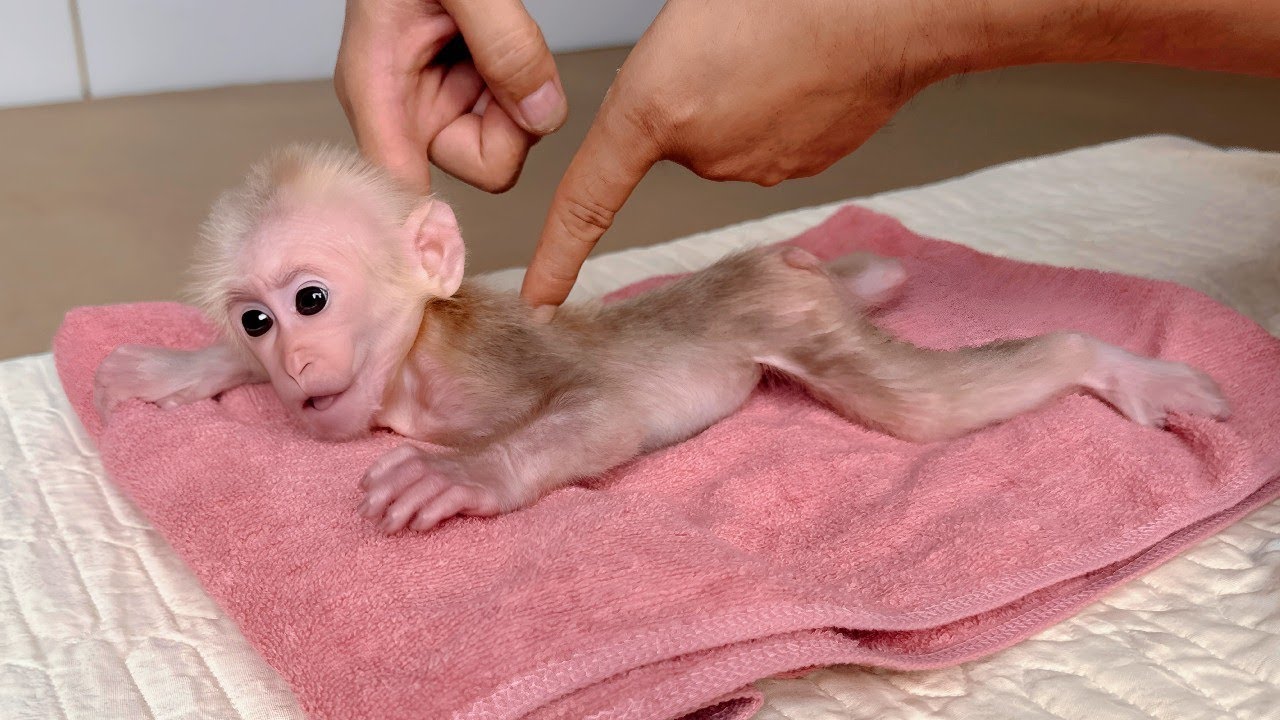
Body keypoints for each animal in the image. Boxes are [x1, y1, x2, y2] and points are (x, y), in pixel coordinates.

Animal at [93, 145, 1230, 535]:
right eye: (254, 316)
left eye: (311, 300)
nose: (287, 362)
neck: (405, 378)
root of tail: (776, 268)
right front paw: (180, 367)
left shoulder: (478, 358)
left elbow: (601, 413)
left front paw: (463, 477)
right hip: (790, 293)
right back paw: (875, 270)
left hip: (785, 320)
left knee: (921, 405)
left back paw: (1100, 360)